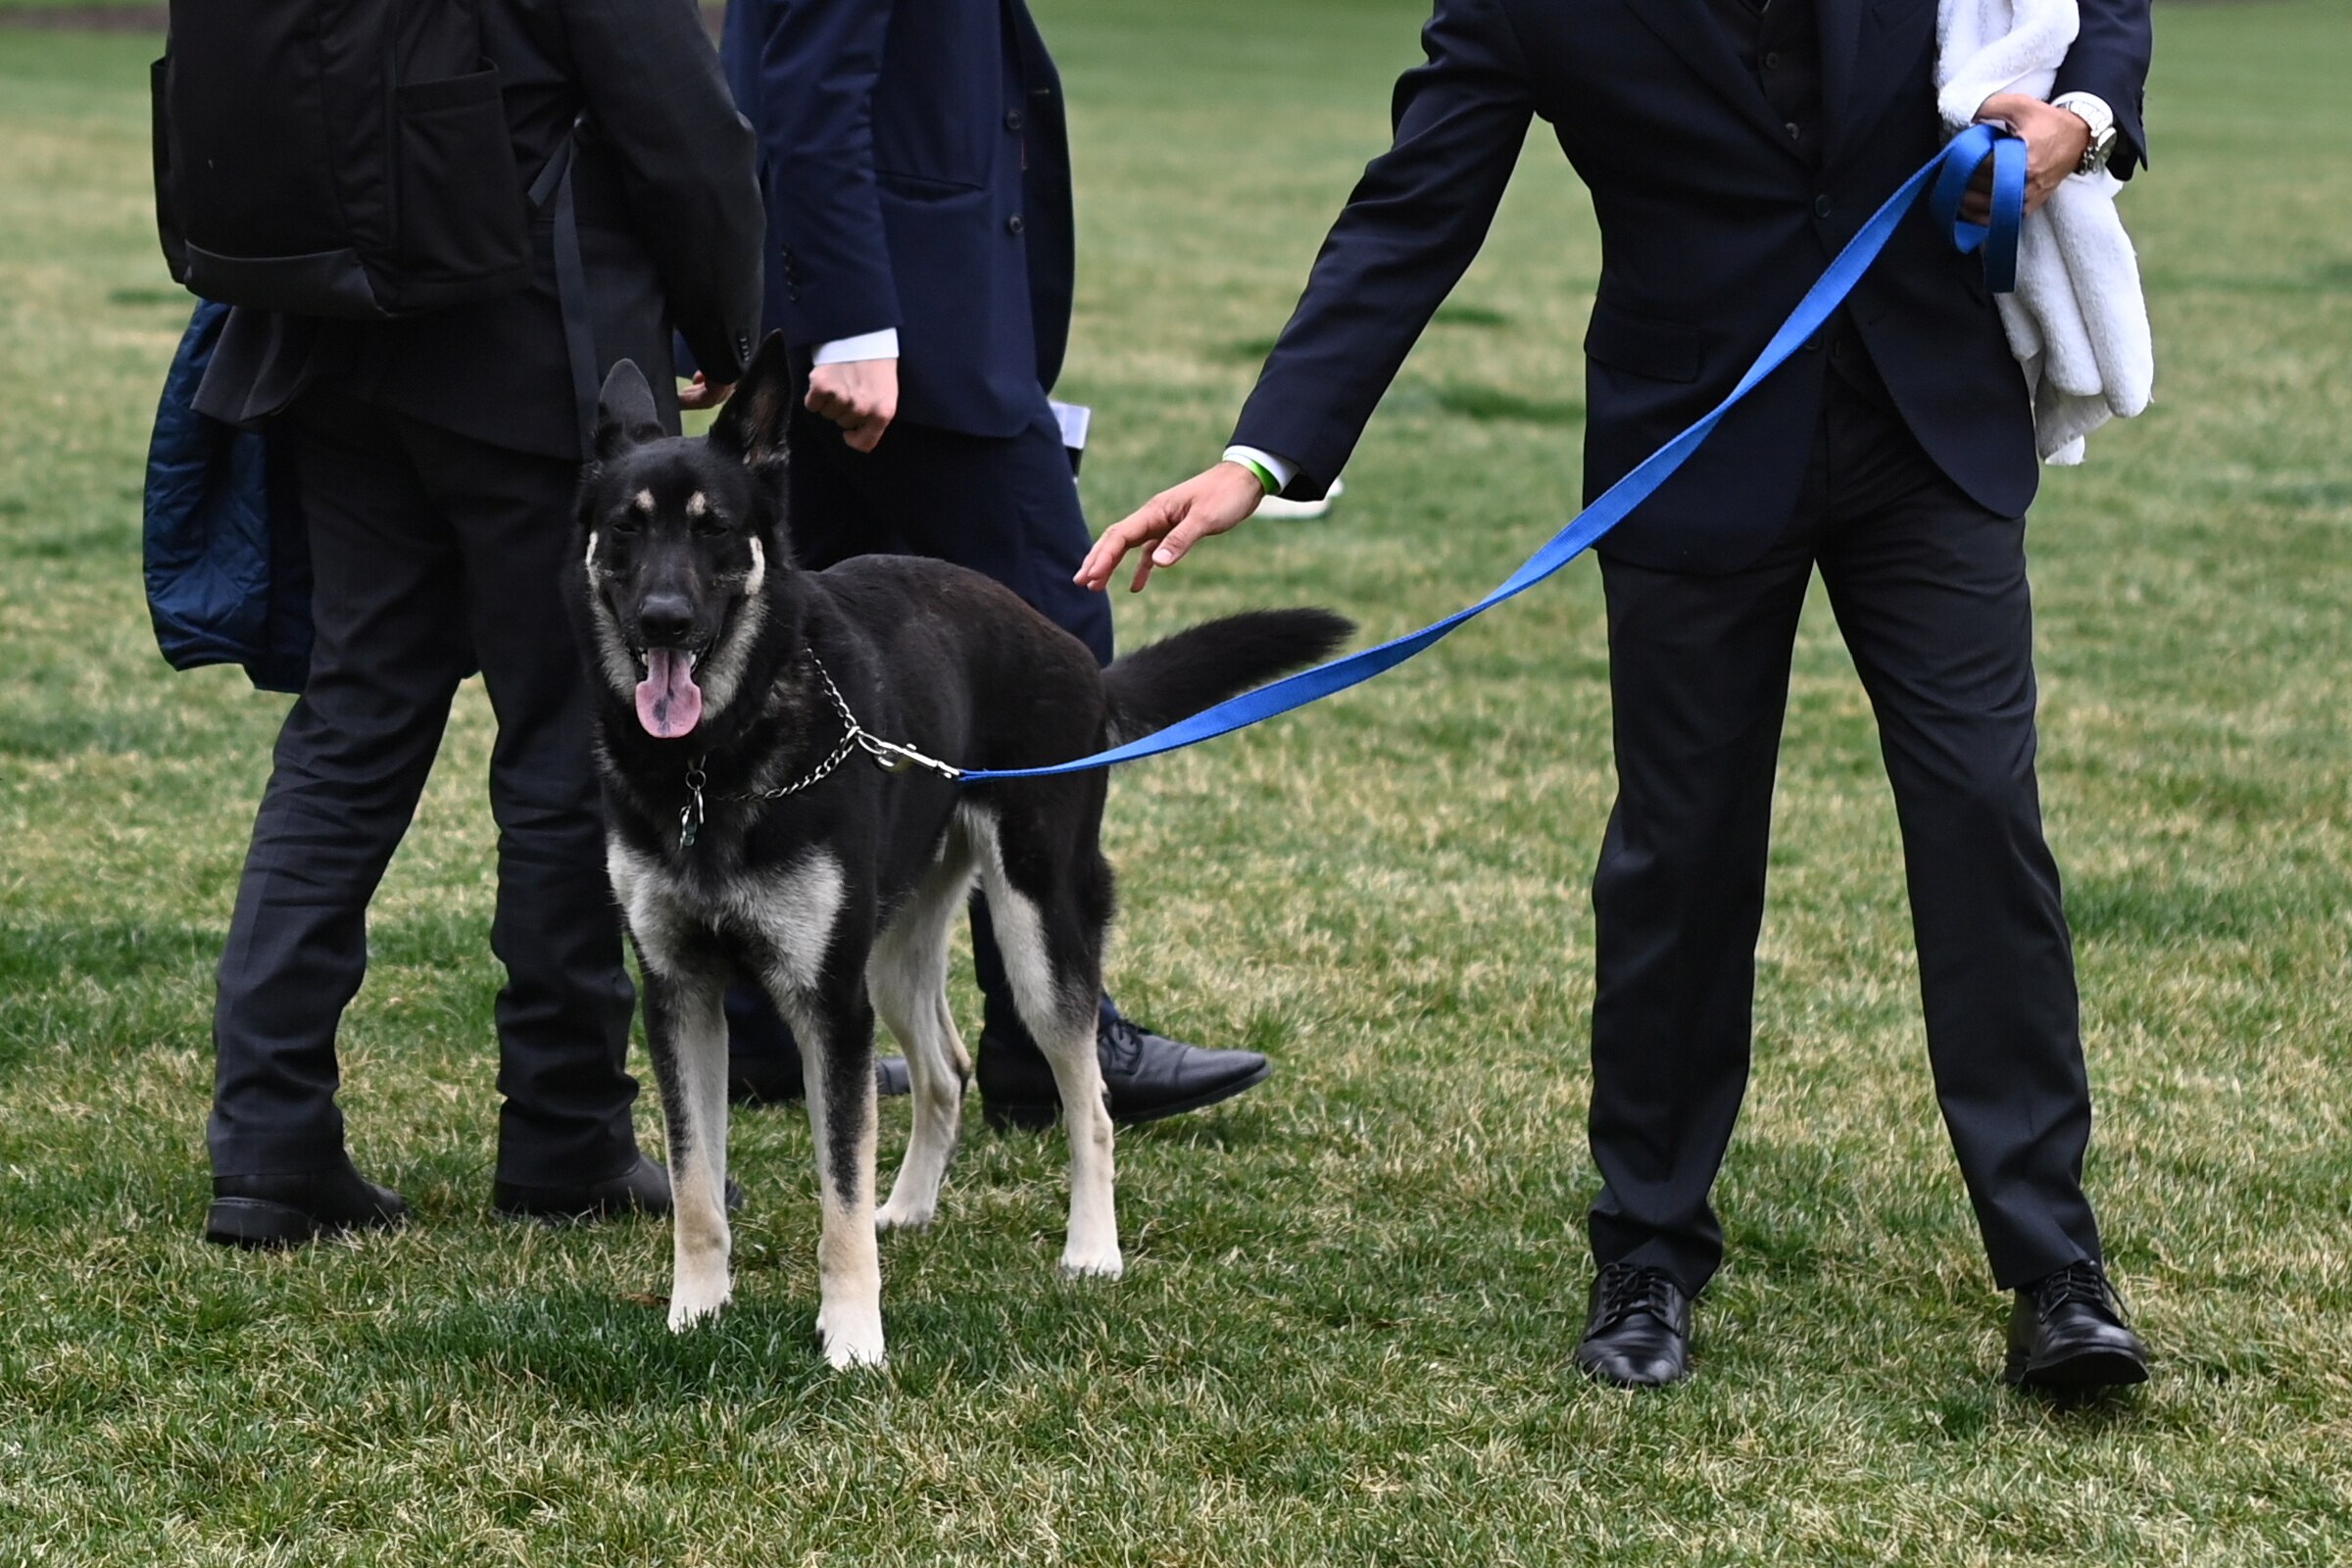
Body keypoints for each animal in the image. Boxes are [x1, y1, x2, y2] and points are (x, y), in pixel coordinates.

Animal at [564, 340, 1345, 1363]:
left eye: (714, 530)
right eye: (626, 528)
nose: (662, 620)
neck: (715, 761)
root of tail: (1077, 659)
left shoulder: (829, 1005)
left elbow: (837, 1191)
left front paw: (853, 1340)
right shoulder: (681, 993)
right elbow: (700, 1188)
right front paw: (695, 1314)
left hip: (1035, 933)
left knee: (1088, 1103)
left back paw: (1092, 1252)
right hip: (893, 954)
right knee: (947, 1073)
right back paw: (910, 1209)